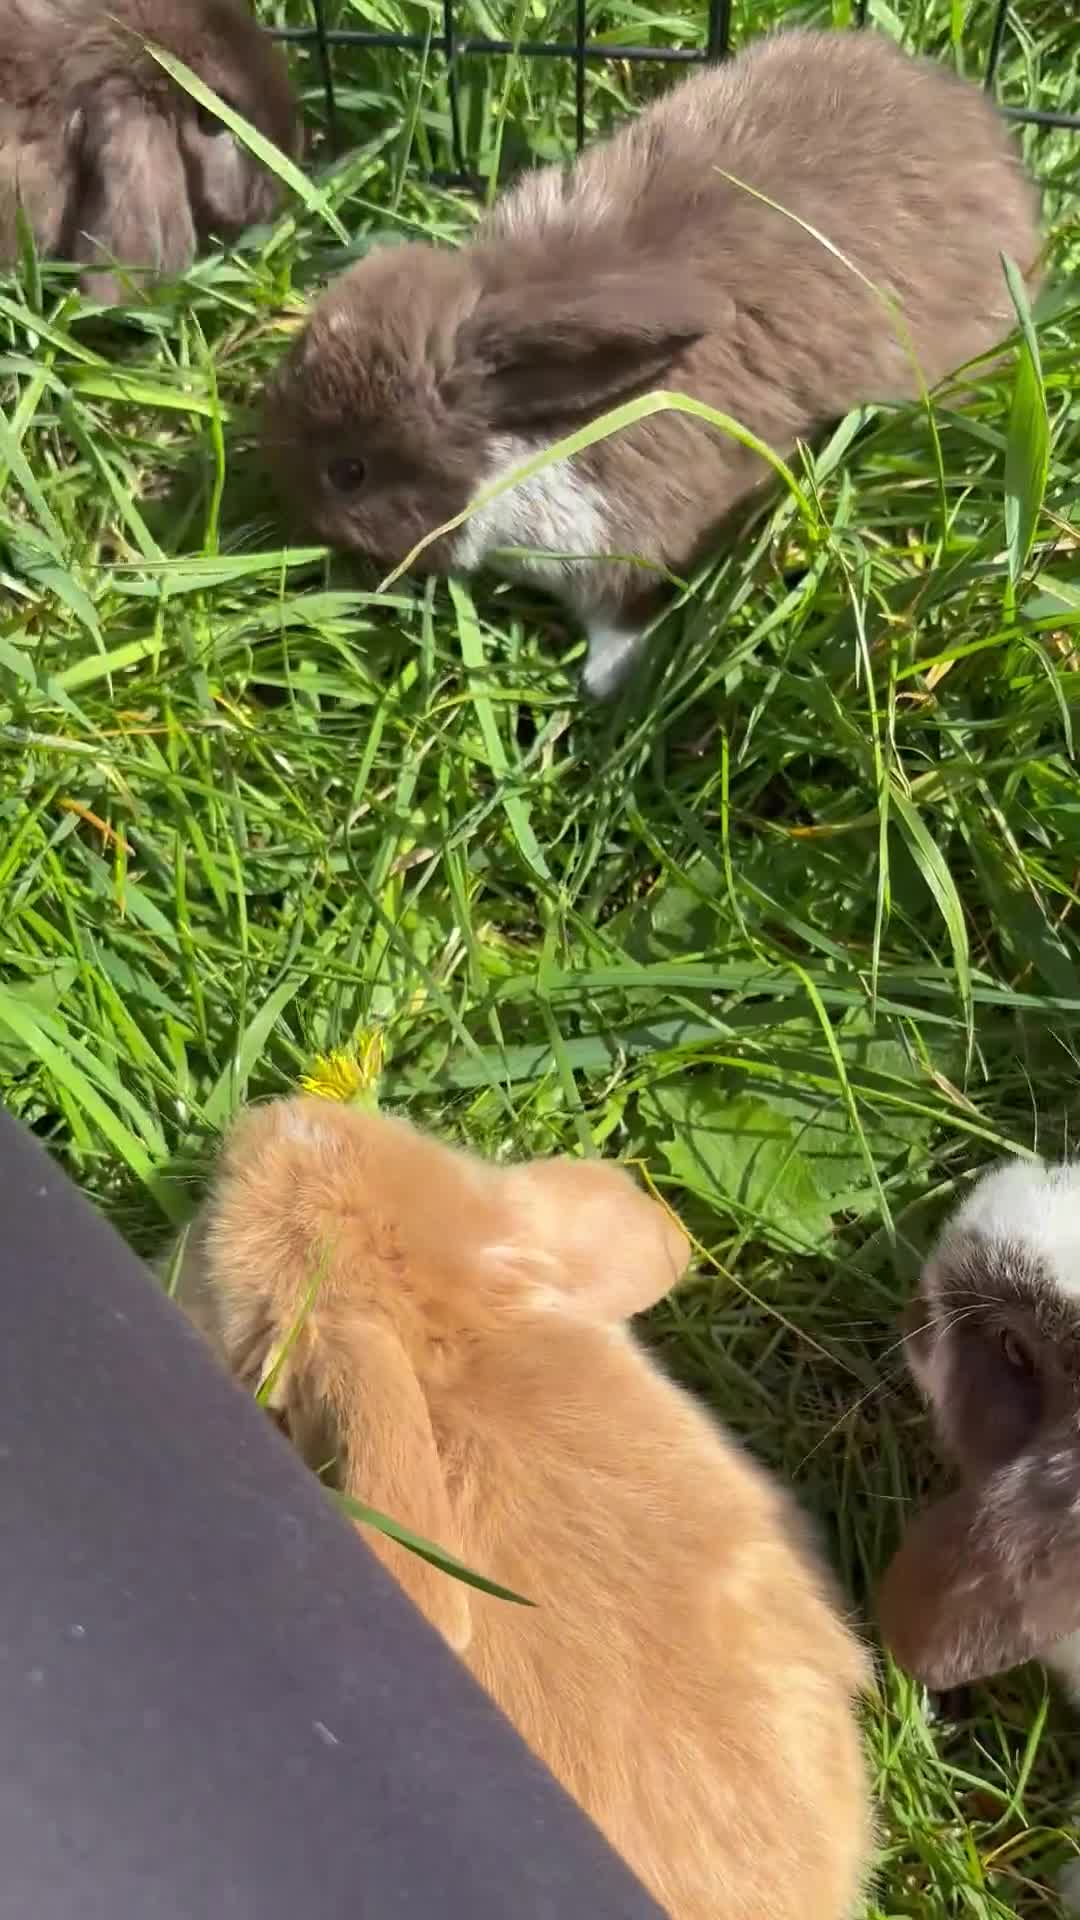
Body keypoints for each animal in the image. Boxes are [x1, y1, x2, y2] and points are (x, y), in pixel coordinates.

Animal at [263, 25, 1042, 699]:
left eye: (349, 473)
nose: (283, 509)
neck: (526, 439)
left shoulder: (631, 546)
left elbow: (625, 616)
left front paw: (602, 683)